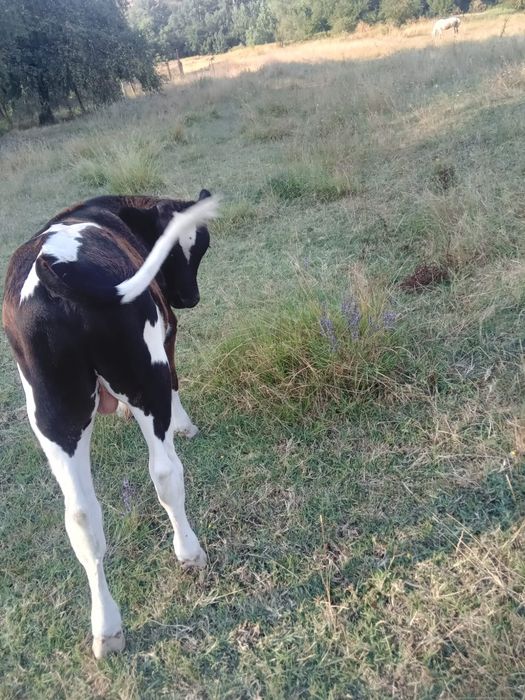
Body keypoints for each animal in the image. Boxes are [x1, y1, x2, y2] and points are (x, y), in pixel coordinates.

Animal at [2, 191, 219, 658]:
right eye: (191, 249)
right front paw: (185, 426)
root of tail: (52, 274)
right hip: (145, 378)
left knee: (82, 517)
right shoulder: (167, 336)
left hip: (52, 415)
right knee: (165, 473)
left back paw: (106, 628)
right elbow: (177, 379)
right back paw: (189, 552)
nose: (188, 297)